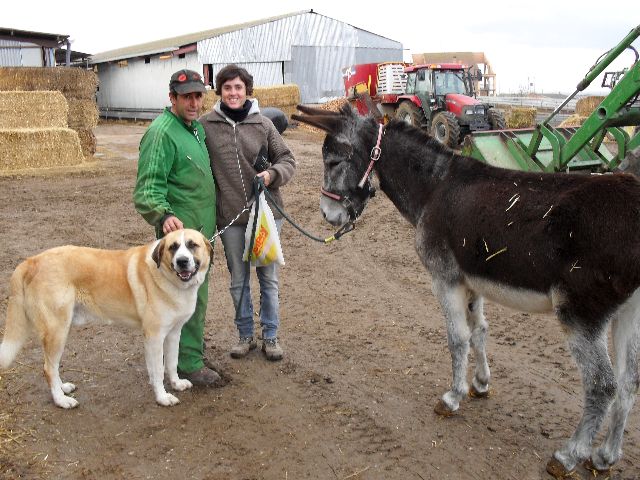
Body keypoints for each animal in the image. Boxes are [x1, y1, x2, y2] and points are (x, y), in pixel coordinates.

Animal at [0, 229, 215, 408]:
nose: (182, 261)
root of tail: (31, 260)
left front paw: (176, 383)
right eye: (173, 247)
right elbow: (158, 370)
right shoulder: (154, 337)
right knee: (48, 368)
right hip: (56, 331)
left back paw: (63, 389)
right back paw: (61, 400)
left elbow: (171, 363)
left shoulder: (173, 333)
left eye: (192, 245)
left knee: (52, 366)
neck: (167, 277)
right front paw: (162, 397)